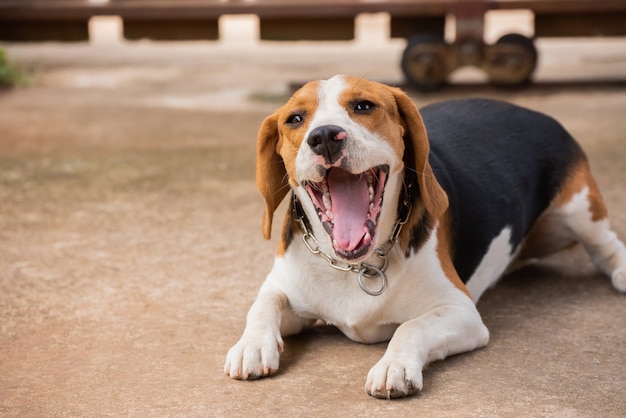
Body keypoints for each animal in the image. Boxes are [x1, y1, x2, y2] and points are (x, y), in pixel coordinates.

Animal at [224, 74, 624, 398]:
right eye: (295, 118)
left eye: (363, 106)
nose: (323, 137)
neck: (358, 266)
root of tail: (534, 112)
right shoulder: (286, 288)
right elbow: (263, 303)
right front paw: (251, 346)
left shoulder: (462, 312)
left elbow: (411, 327)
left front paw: (394, 366)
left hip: (578, 211)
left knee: (606, 244)